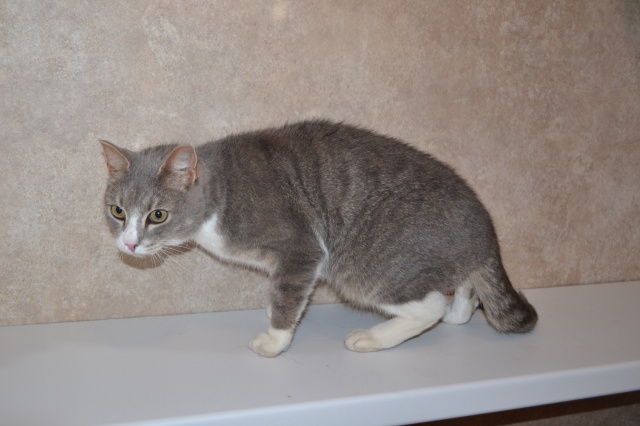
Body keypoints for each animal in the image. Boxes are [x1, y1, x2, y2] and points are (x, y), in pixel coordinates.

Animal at [100, 120, 537, 358]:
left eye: (157, 215)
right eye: (118, 211)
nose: (129, 244)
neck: (220, 191)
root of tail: (486, 230)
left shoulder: (301, 247)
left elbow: (287, 294)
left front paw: (274, 340)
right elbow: (282, 291)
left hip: (366, 268)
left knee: (430, 306)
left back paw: (372, 337)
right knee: (464, 290)